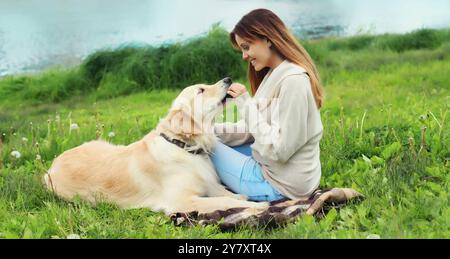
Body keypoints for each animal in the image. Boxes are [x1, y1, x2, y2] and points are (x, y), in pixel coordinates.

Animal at [43, 77, 268, 215]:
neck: (182, 146)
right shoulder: (182, 201)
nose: (228, 79)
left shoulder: (208, 184)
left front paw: (245, 198)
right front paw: (258, 205)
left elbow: (228, 194)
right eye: (201, 90)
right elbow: (225, 202)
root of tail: (52, 165)